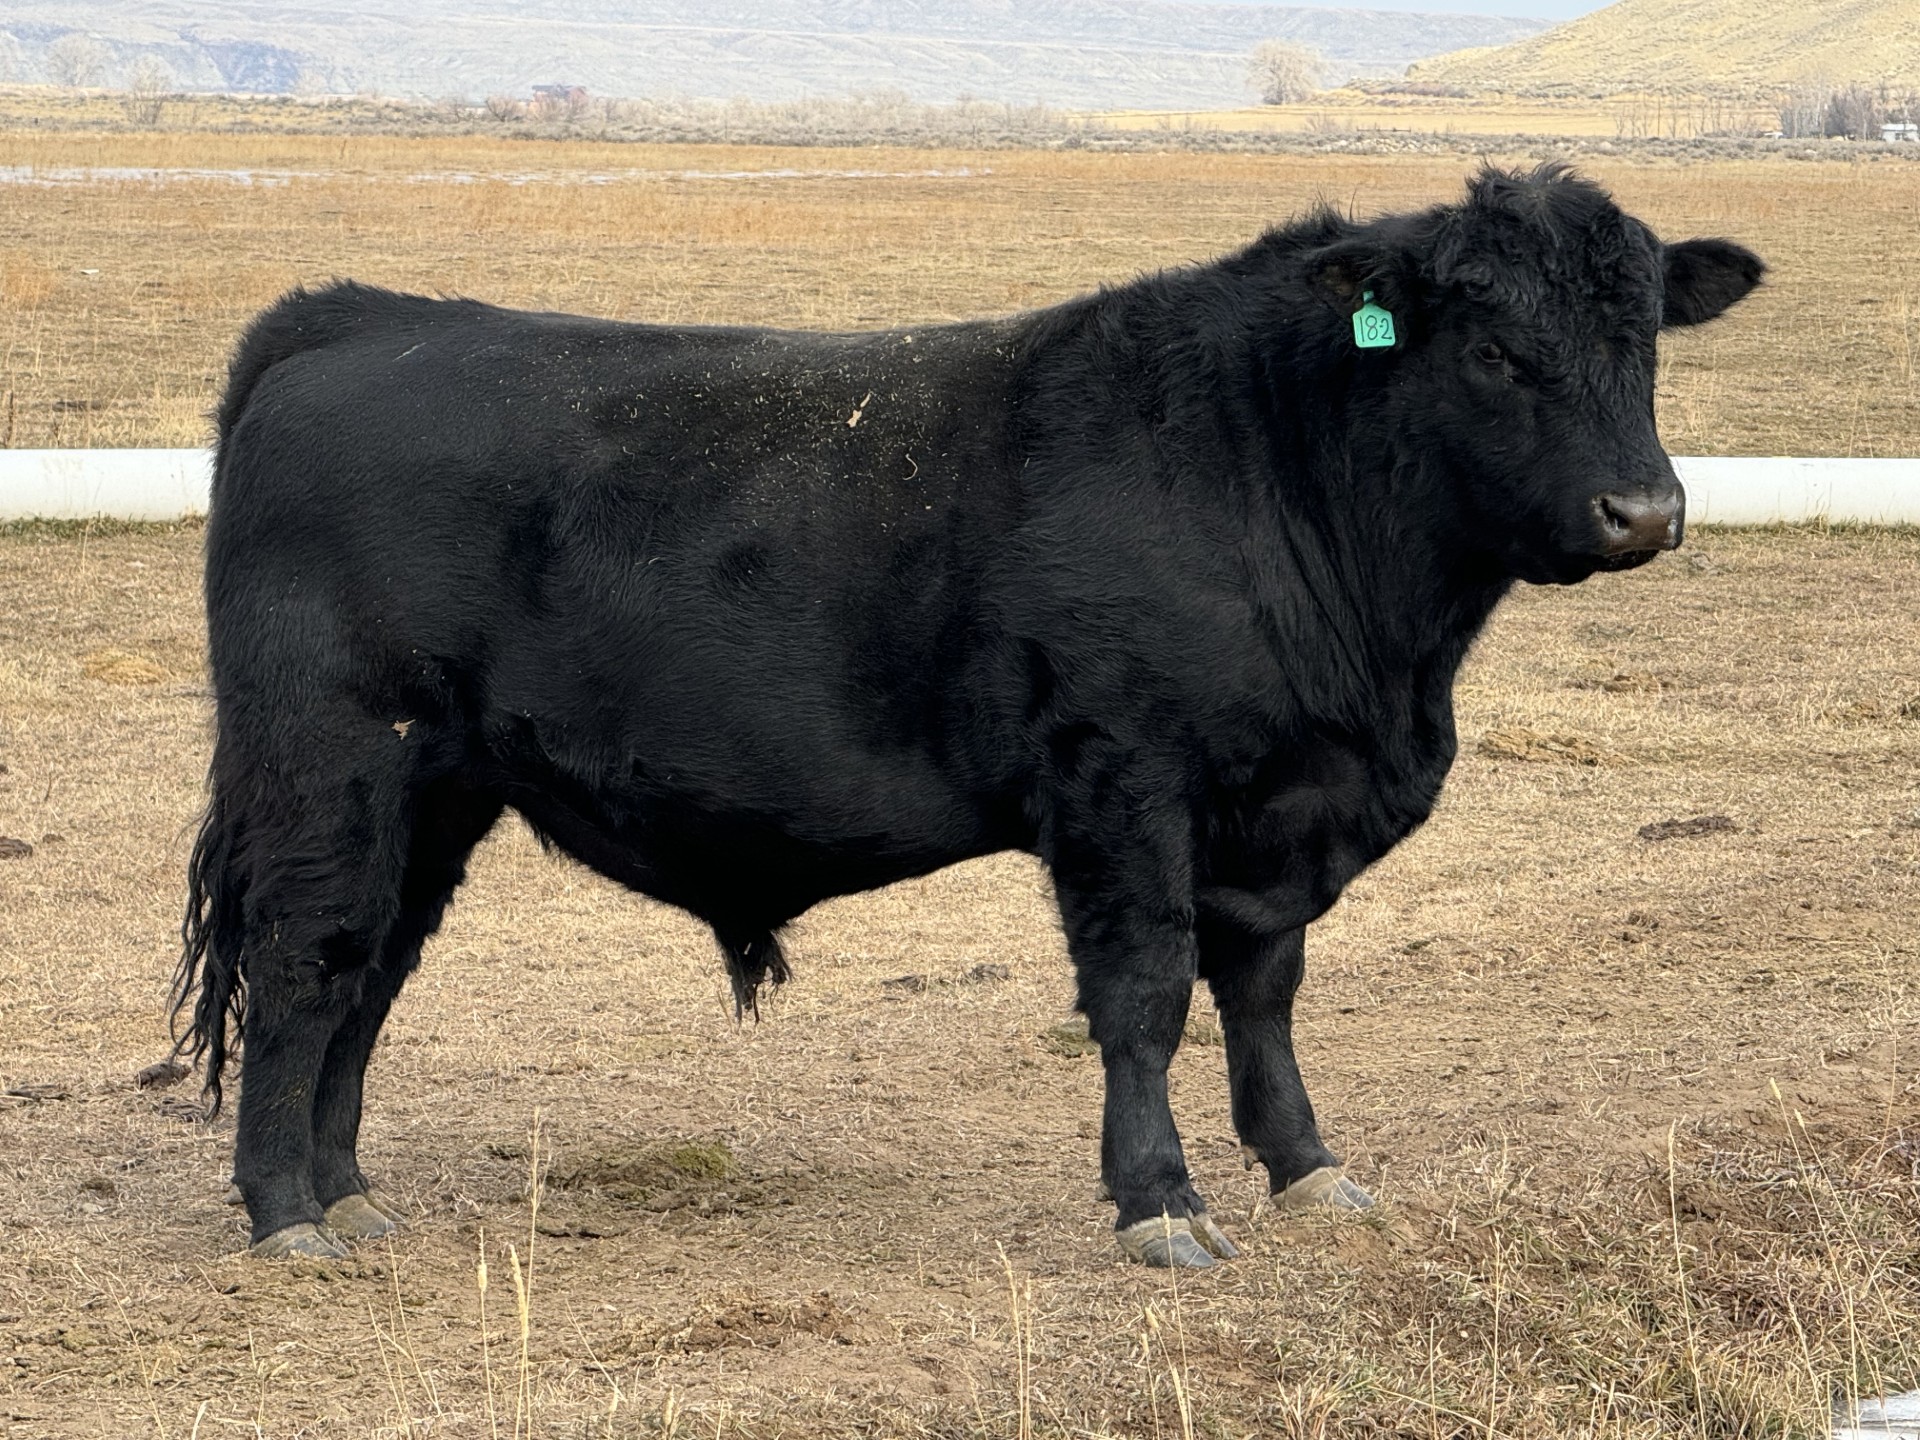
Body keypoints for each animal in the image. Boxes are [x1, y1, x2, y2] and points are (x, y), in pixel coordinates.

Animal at [174, 164, 1762, 1266]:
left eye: (1644, 339)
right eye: (1491, 350)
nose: (1645, 510)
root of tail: (357, 319)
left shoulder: (1273, 816)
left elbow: (1264, 993)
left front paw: (1308, 1168)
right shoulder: (1125, 787)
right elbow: (1146, 996)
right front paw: (1161, 1204)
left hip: (436, 790)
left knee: (370, 973)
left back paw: (350, 1197)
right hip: (331, 764)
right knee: (305, 964)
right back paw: (284, 1213)